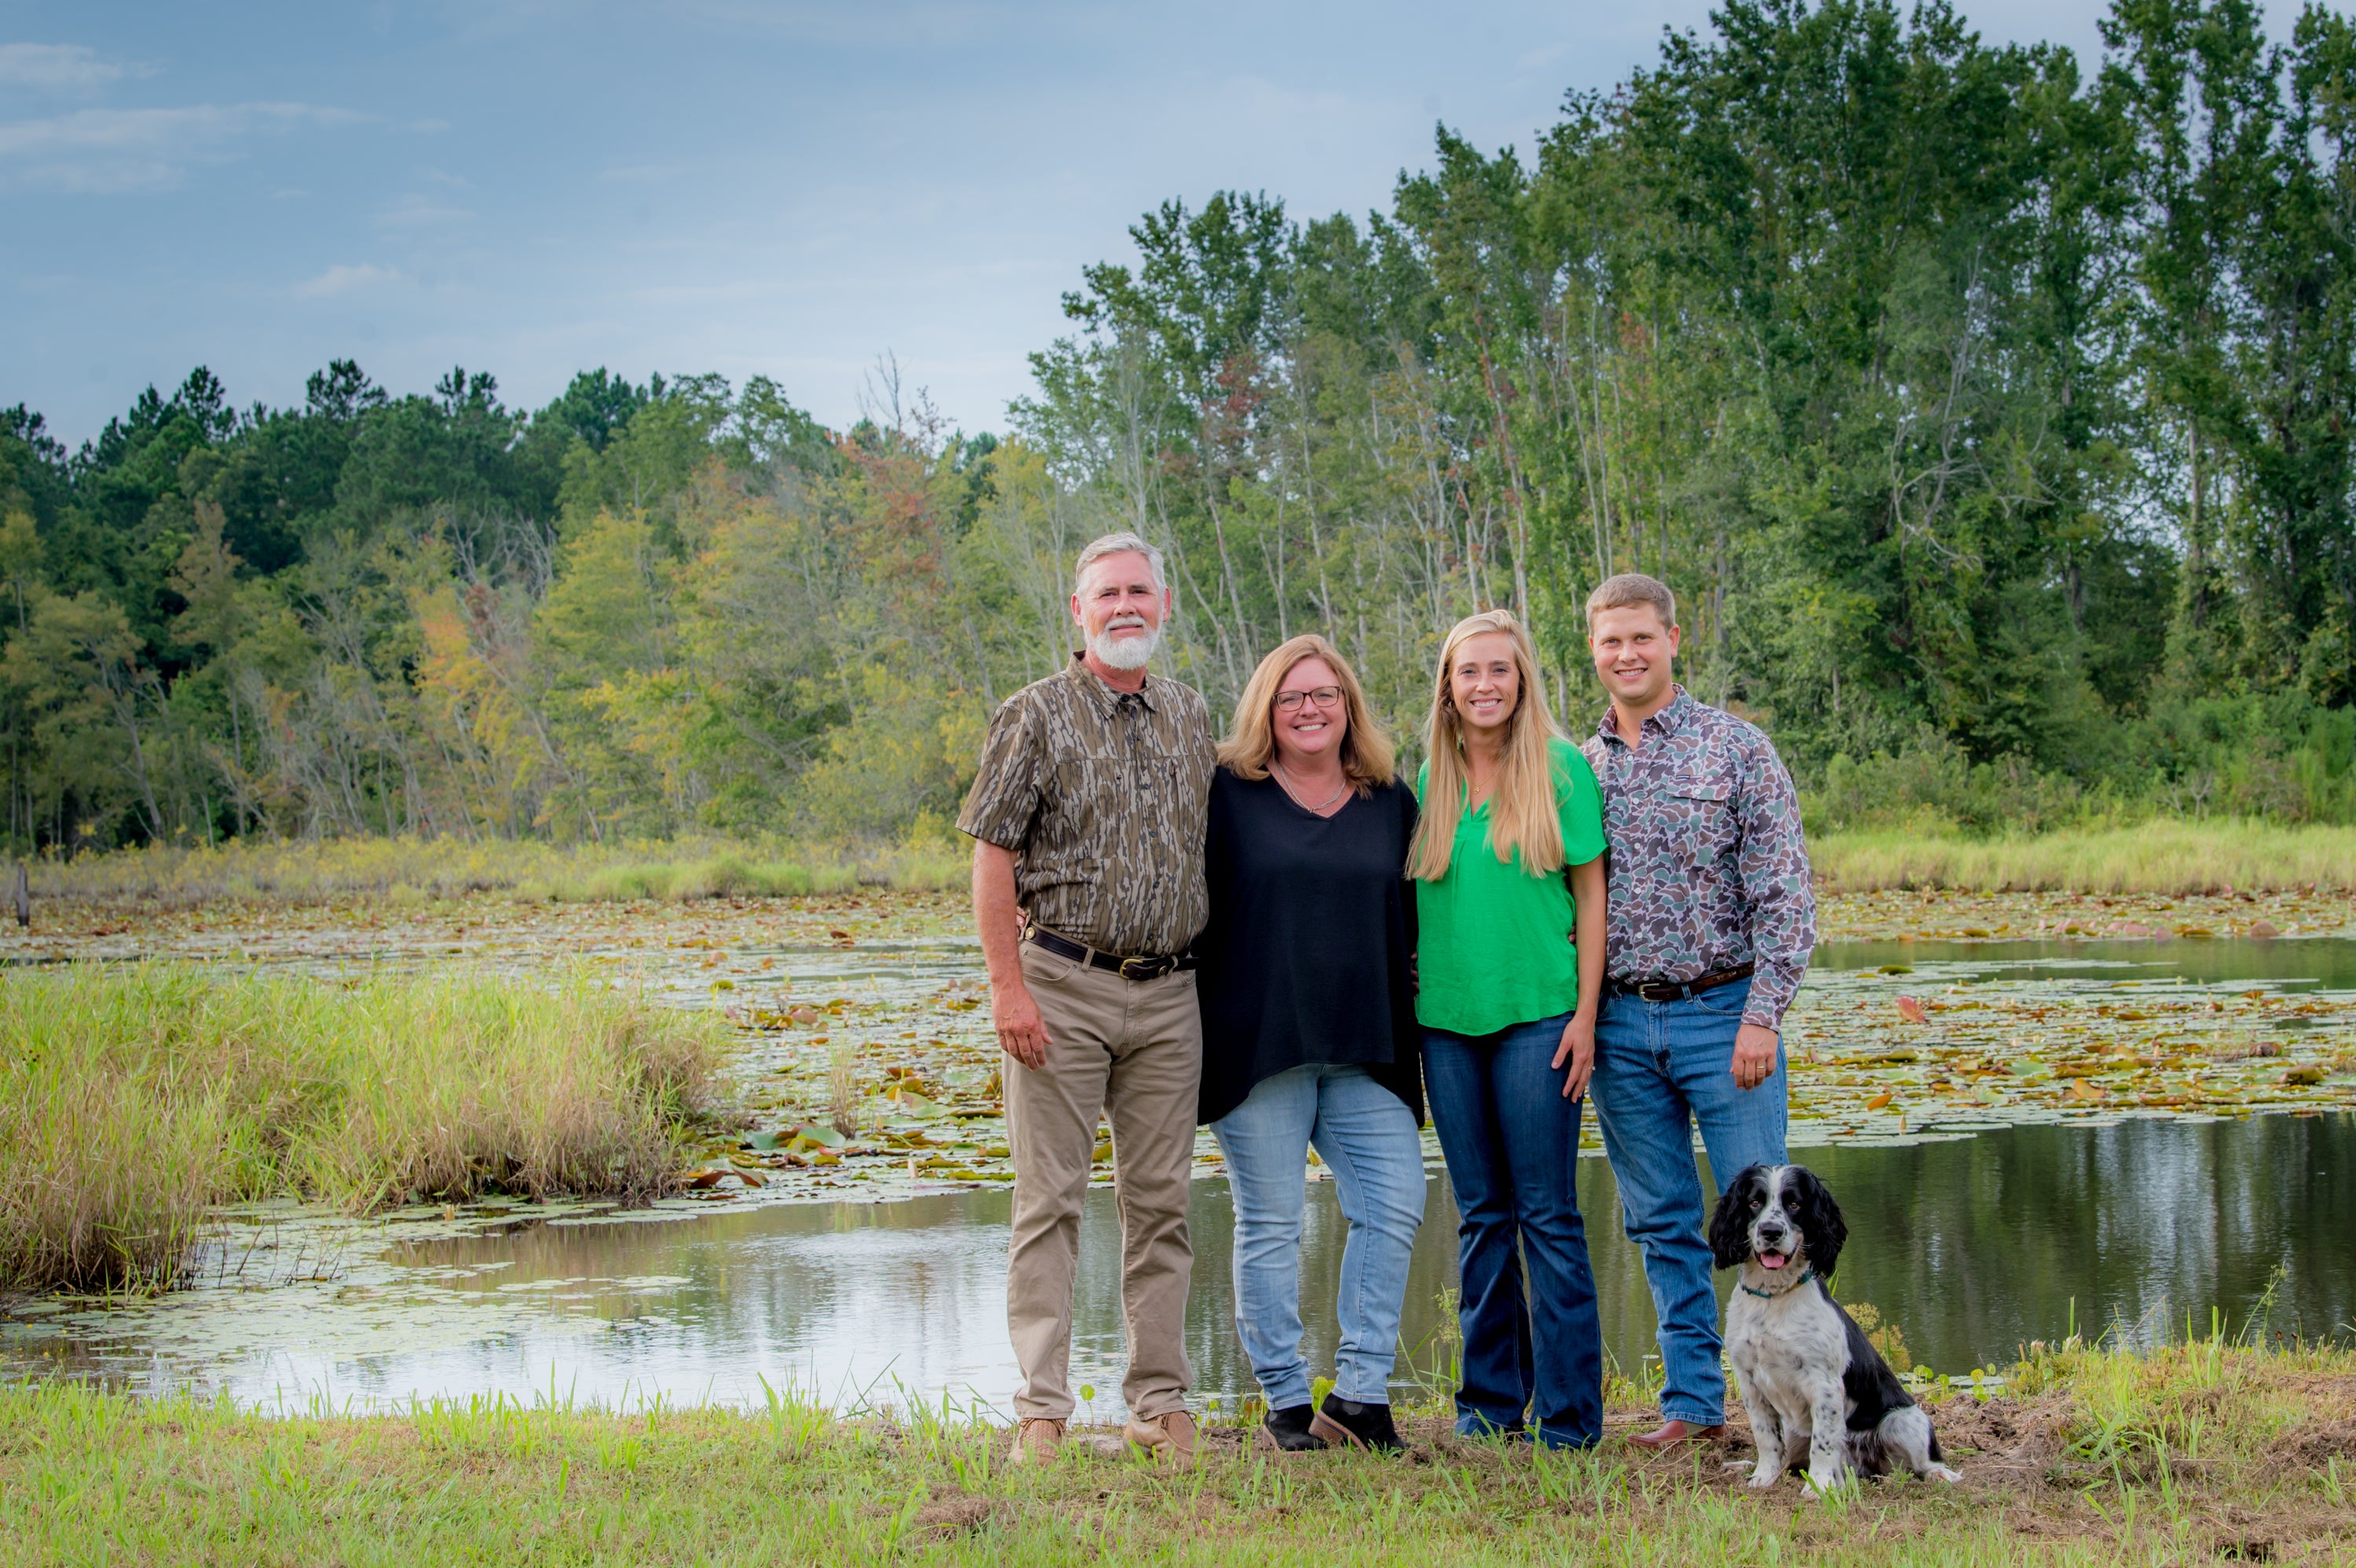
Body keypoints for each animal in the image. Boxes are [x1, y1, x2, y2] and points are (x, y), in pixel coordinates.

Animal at [1706, 1158, 1960, 1488]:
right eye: (1754, 1202)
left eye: (1794, 1204)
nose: (1771, 1231)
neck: (1773, 1298)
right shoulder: (1750, 1380)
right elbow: (1766, 1437)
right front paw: (1763, 1477)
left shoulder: (1823, 1382)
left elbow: (1824, 1442)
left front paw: (1820, 1486)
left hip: (1905, 1420)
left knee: (1922, 1461)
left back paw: (1940, 1473)